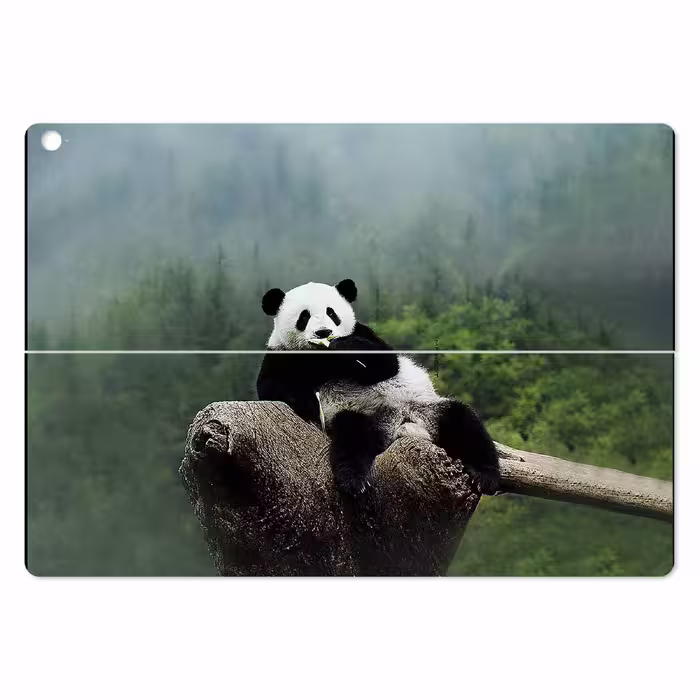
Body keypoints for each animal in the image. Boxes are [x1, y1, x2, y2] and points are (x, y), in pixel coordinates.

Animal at [256, 278, 500, 496]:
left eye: (332, 313)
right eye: (304, 317)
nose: (324, 332)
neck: (323, 358)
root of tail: (401, 425)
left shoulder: (363, 333)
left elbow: (387, 364)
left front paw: (345, 347)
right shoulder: (281, 354)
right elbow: (269, 386)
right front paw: (307, 402)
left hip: (426, 408)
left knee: (463, 422)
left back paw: (485, 476)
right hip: (362, 415)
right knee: (352, 436)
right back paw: (354, 481)